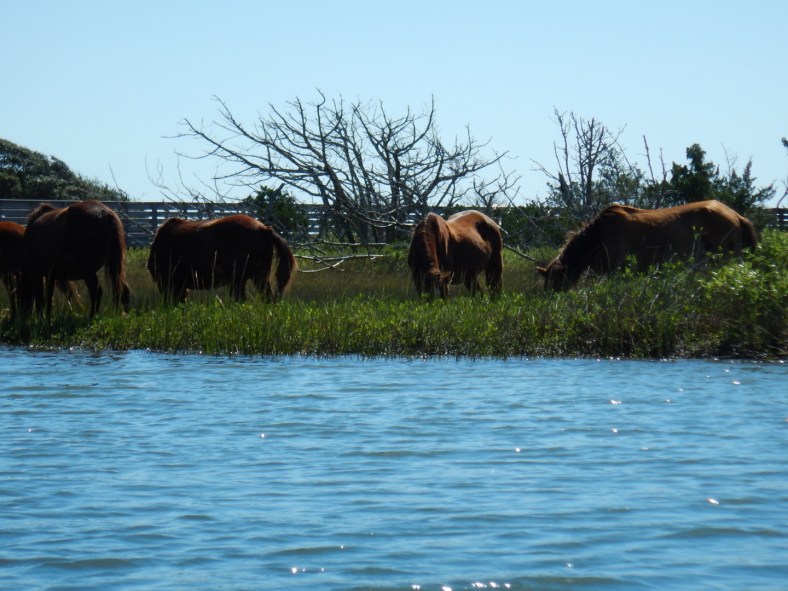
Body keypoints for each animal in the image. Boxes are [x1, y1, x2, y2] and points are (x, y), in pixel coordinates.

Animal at [147, 214, 297, 304]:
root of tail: (264, 229)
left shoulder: (167, 283)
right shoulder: (180, 286)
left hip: (238, 280)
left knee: (240, 300)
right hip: (260, 276)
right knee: (267, 297)